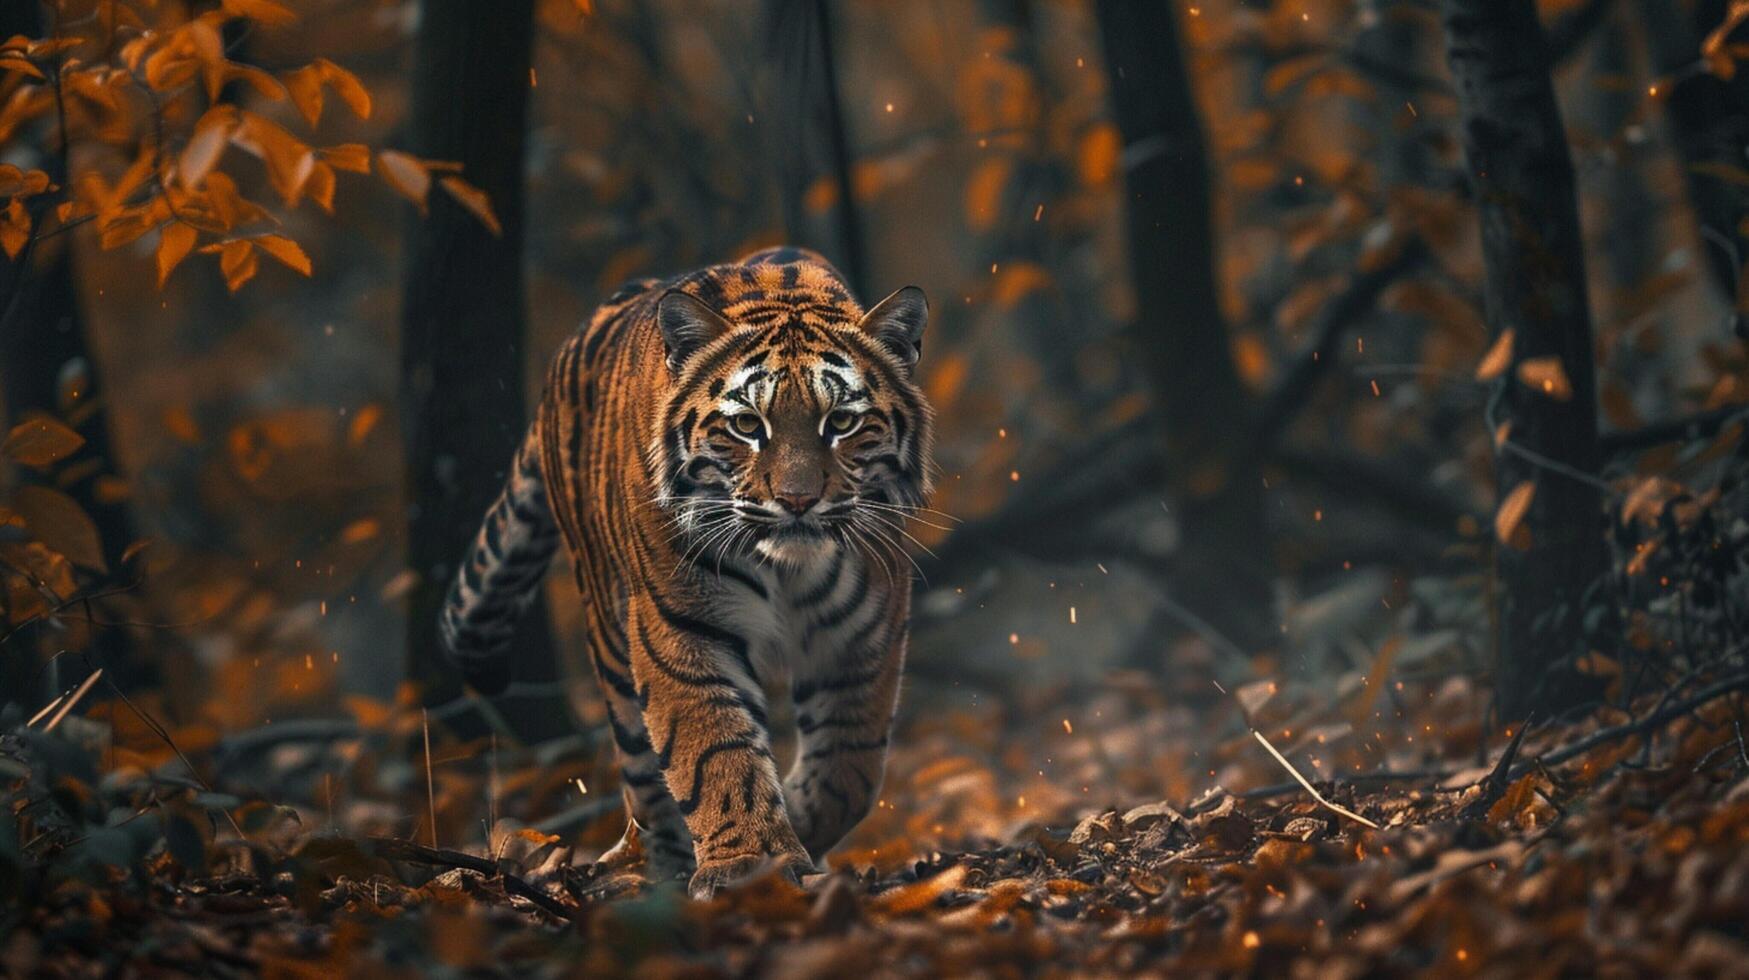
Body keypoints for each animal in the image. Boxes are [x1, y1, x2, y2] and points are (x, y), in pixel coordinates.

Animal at [440, 245, 930, 896]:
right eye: (748, 426)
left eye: (842, 423)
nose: (798, 501)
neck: (788, 569)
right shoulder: (681, 626)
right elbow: (713, 749)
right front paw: (749, 865)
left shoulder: (864, 633)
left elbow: (851, 768)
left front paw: (798, 828)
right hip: (611, 639)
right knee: (644, 781)